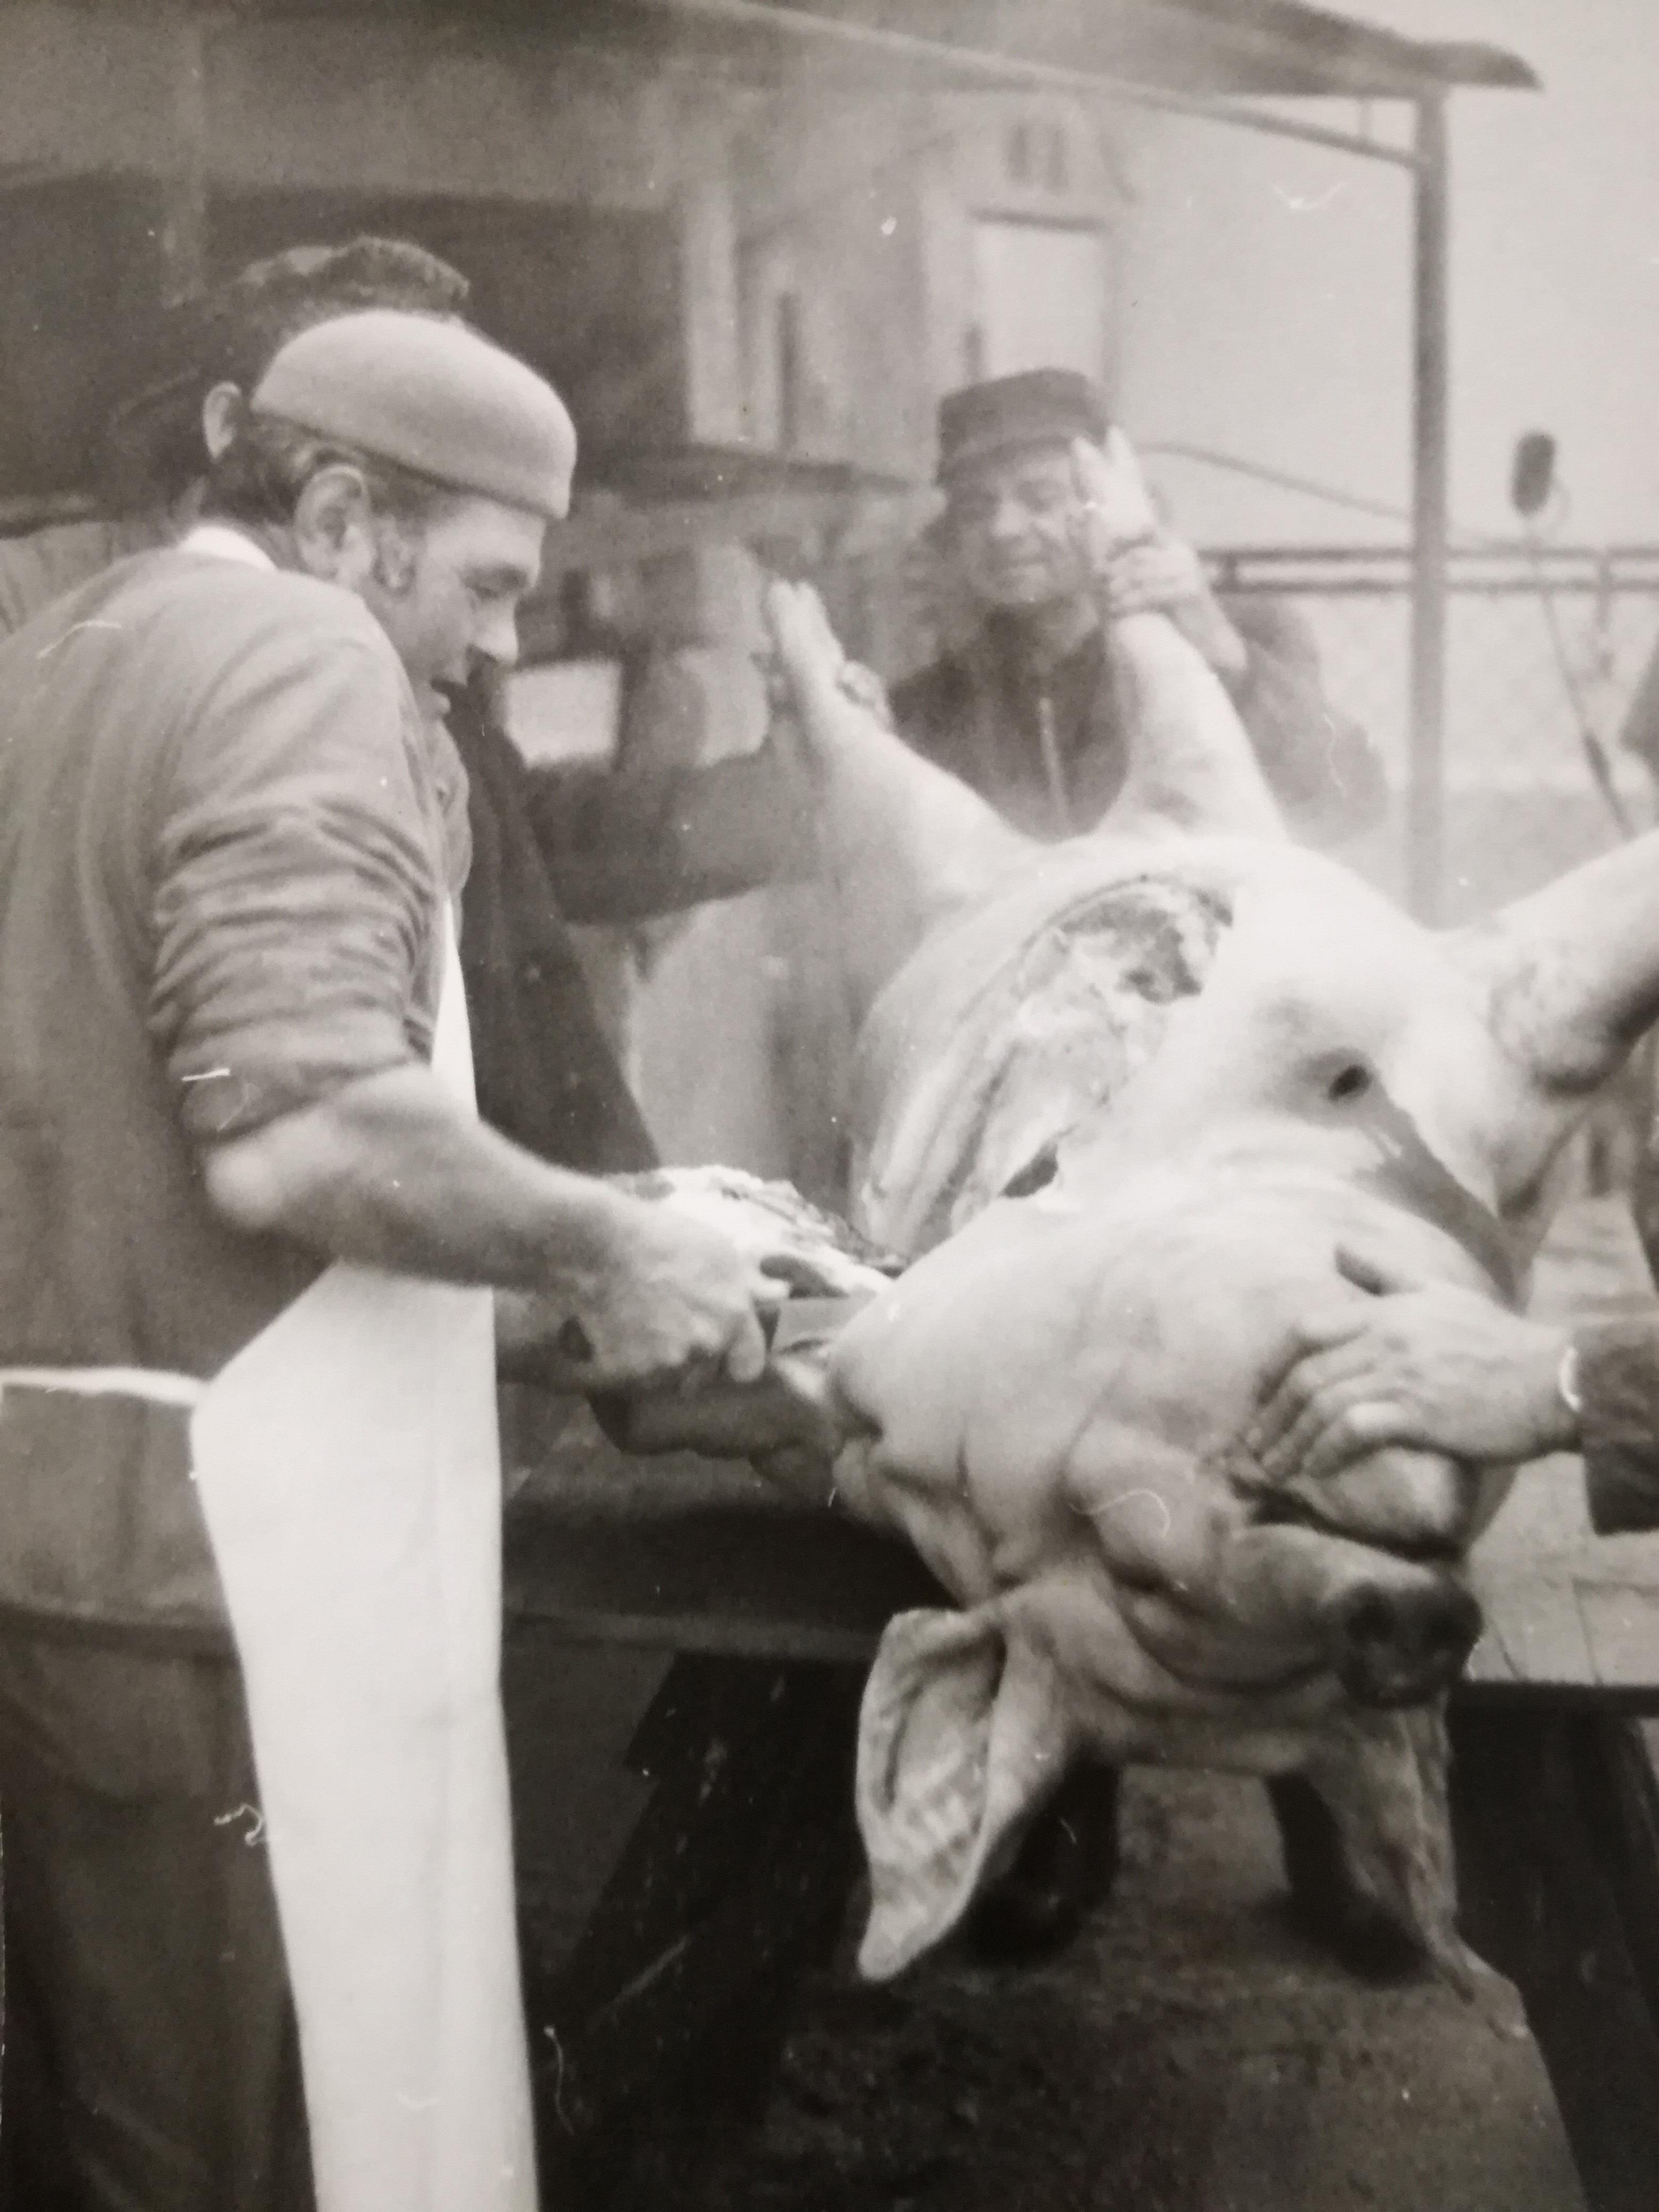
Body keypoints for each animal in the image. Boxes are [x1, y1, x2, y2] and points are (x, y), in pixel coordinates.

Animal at [605, 439, 1659, 2008]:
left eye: (1141, 1580)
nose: (1411, 1622)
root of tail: (1081, 830)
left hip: (1065, 832)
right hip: (1044, 824)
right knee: (1078, 718)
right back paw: (861, 597)